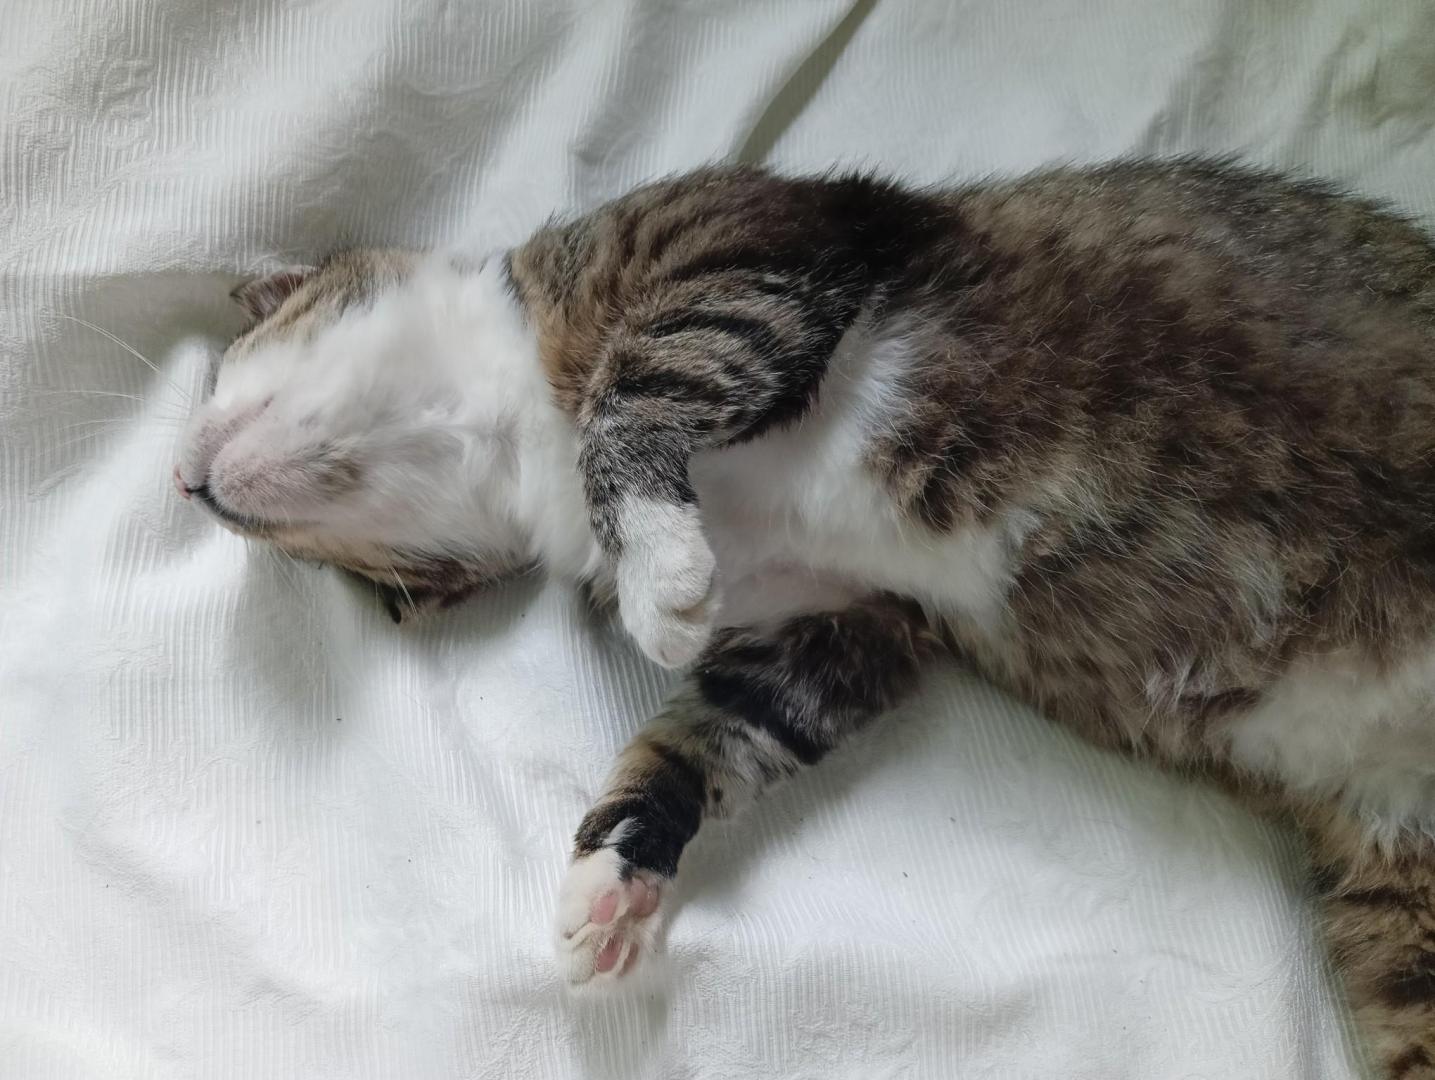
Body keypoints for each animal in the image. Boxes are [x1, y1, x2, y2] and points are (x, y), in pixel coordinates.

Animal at [177, 158, 1435, 1077]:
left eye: (228, 363)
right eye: (384, 591)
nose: (184, 485)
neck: (517, 433)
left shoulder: (755, 243)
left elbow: (647, 379)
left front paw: (658, 569)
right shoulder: (841, 625)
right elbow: (716, 734)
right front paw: (617, 875)